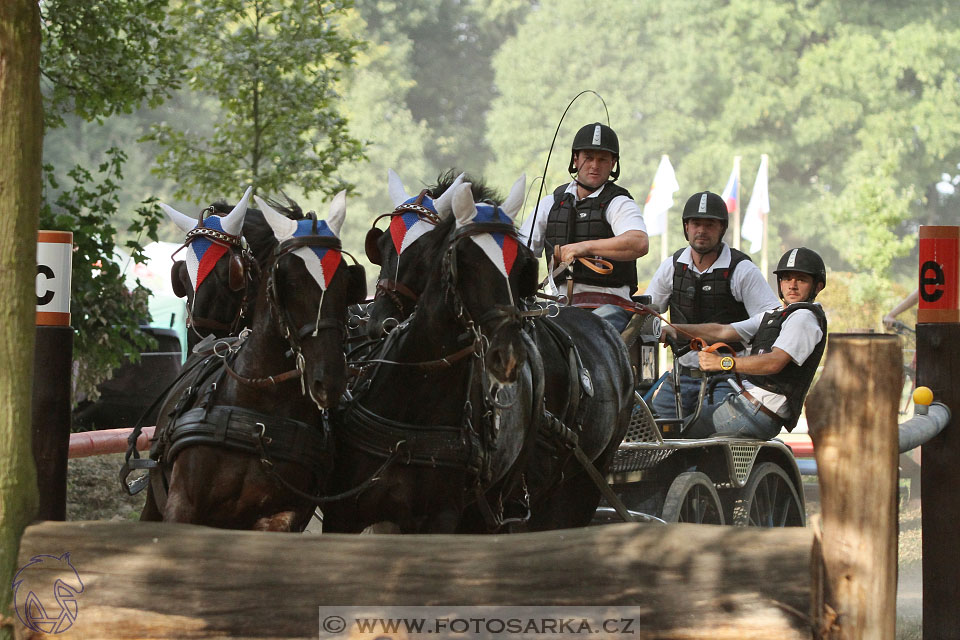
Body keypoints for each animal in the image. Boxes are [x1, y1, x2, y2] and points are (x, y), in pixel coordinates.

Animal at [140, 192, 368, 532]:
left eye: (345, 279)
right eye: (181, 277)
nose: (328, 379)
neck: (258, 414)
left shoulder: (281, 516)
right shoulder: (182, 506)